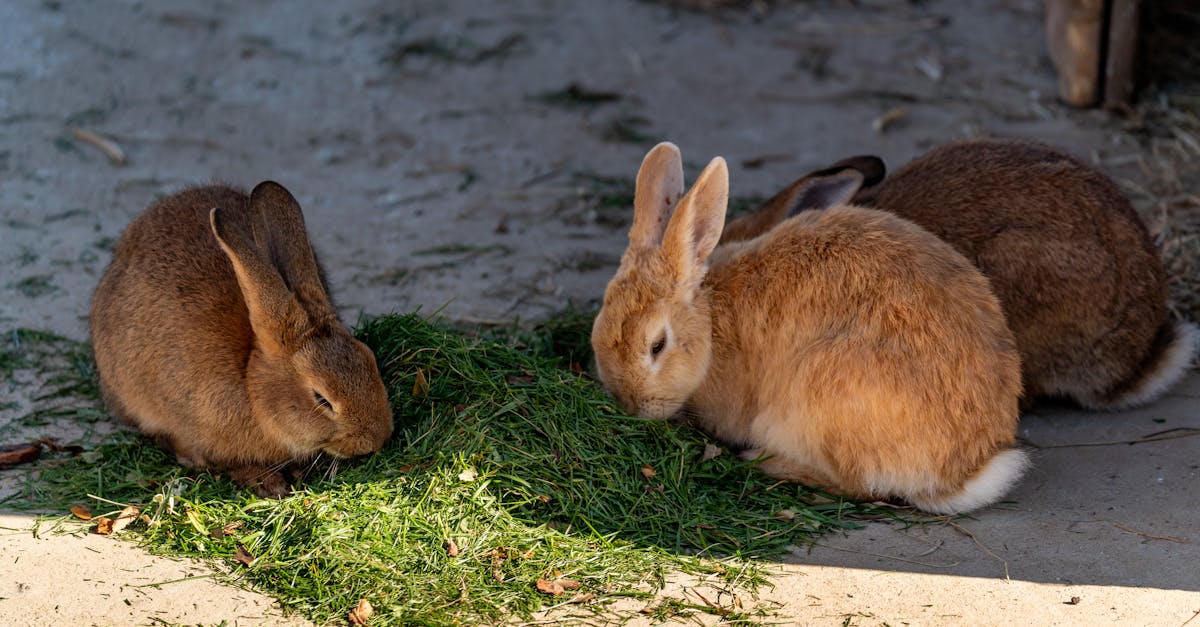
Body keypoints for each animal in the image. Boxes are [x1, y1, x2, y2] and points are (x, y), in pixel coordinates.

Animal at [591, 142, 1027, 514]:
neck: (711, 323)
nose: (630, 405)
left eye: (657, 346)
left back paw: (765, 461)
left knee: (860, 486)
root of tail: (961, 473)